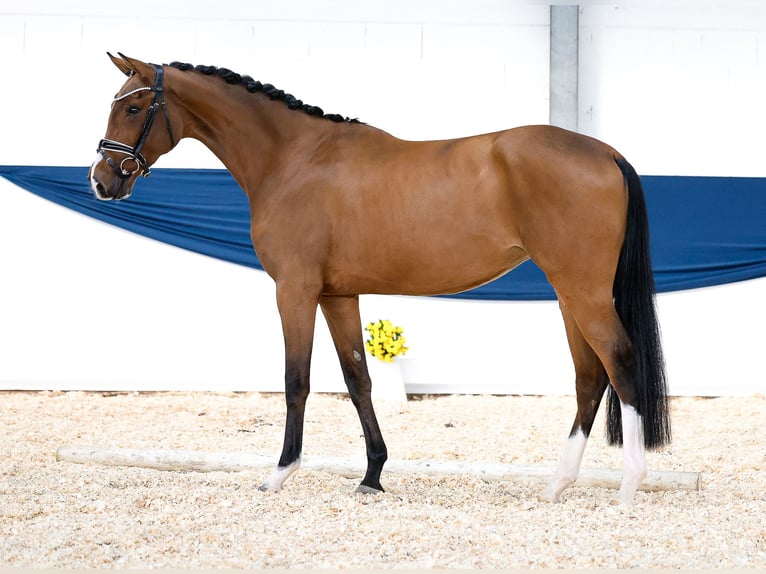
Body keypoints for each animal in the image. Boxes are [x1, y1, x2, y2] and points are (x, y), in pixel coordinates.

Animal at [87, 53, 668, 504]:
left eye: (133, 107)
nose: (101, 181)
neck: (293, 159)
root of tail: (606, 152)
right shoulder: (339, 294)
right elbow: (357, 379)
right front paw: (372, 475)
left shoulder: (294, 290)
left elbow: (296, 380)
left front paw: (279, 474)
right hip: (570, 294)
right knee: (589, 377)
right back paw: (557, 485)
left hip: (583, 291)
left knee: (620, 361)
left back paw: (629, 486)